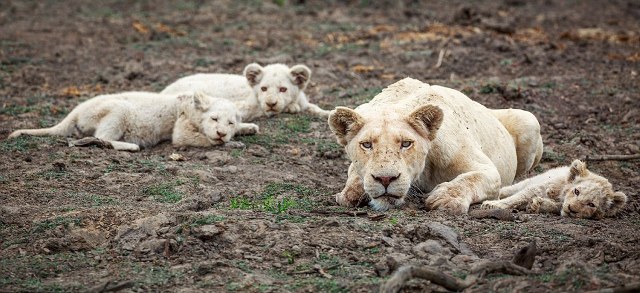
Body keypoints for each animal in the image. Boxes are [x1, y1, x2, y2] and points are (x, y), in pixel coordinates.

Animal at [328, 77, 544, 213]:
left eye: (406, 143)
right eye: (366, 145)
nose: (386, 179)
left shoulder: (488, 169)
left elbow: (472, 178)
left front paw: (445, 198)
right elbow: (354, 177)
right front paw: (350, 192)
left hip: (529, 119)